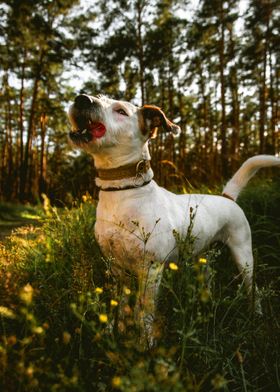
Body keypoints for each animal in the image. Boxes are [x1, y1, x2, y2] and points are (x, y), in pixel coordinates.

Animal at [68, 95, 280, 344]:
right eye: (99, 98)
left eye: (120, 111)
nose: (81, 98)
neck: (122, 193)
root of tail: (227, 197)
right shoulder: (115, 268)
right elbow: (119, 304)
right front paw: (114, 330)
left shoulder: (151, 269)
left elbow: (145, 310)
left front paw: (146, 341)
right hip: (202, 257)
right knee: (208, 278)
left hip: (243, 255)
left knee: (252, 288)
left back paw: (256, 313)